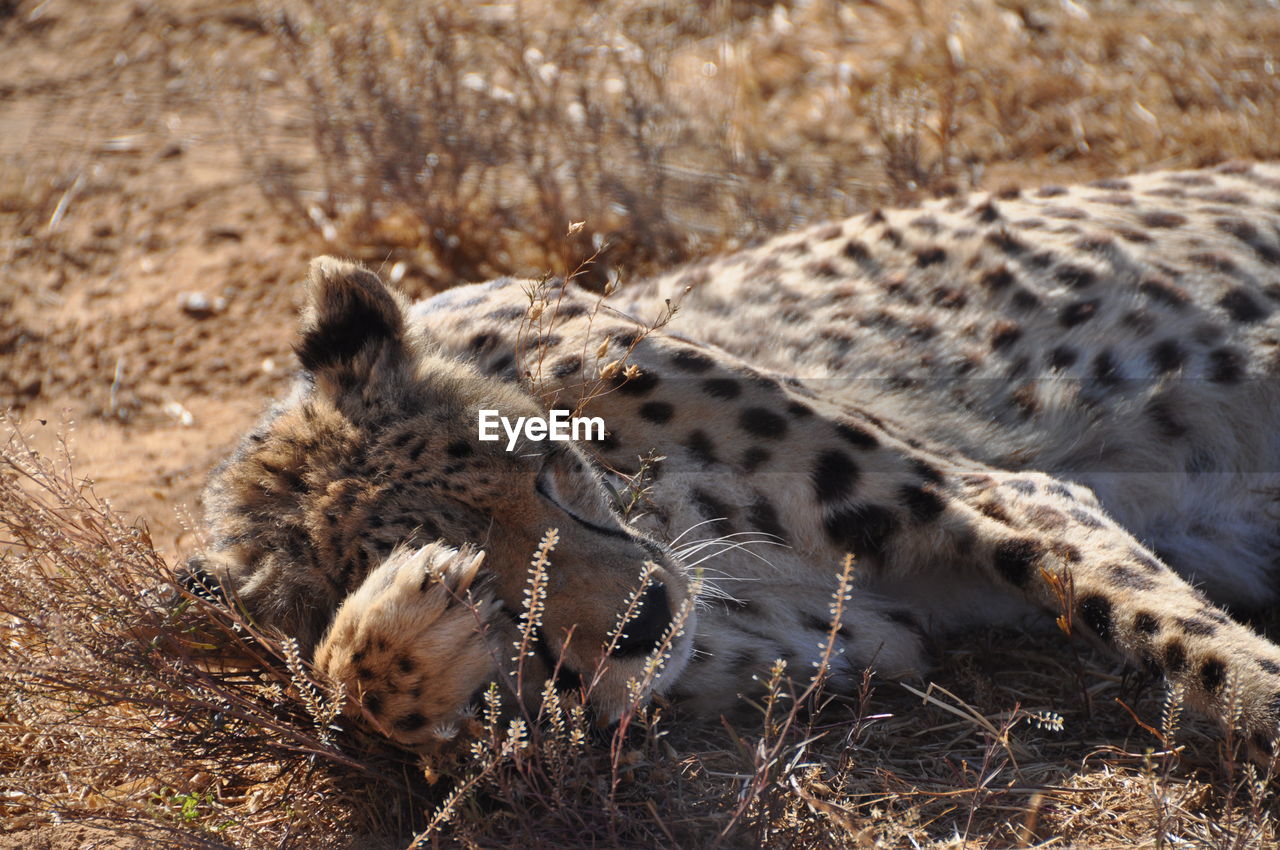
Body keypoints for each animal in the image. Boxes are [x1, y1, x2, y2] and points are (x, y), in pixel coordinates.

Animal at [185, 161, 1280, 757]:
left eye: (544, 469)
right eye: (497, 589)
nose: (645, 616)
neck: (659, 510)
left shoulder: (988, 493)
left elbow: (1187, 640)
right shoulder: (824, 644)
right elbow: (376, 698)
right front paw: (405, 627)